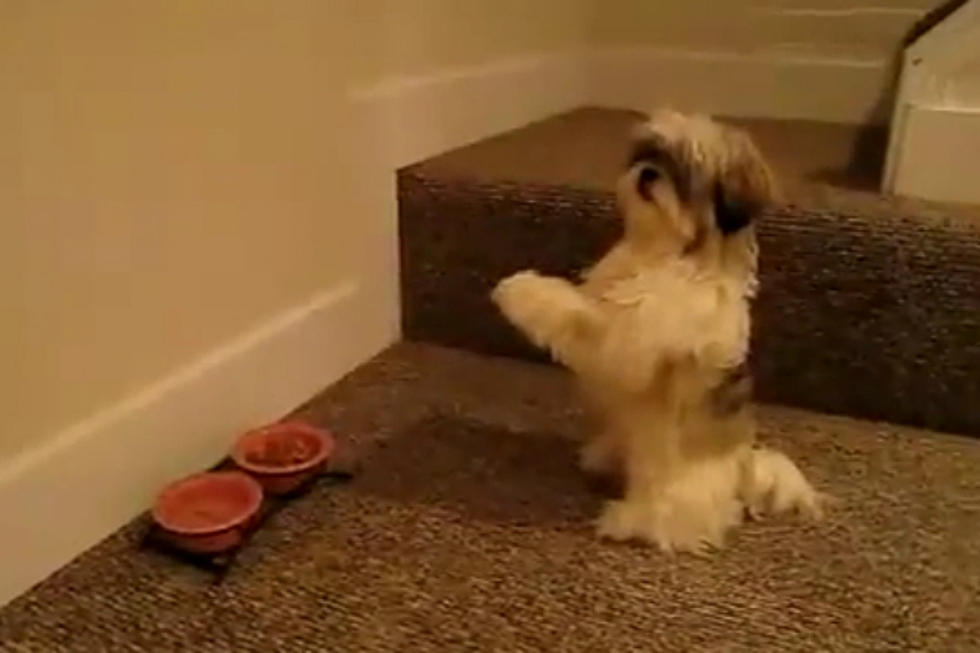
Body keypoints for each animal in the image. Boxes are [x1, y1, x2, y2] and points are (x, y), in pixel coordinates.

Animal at [494, 109, 824, 552]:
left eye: (684, 171)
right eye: (648, 155)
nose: (648, 174)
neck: (663, 253)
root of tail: (743, 468)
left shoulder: (630, 343)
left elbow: (577, 315)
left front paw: (519, 290)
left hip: (675, 489)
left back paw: (626, 521)